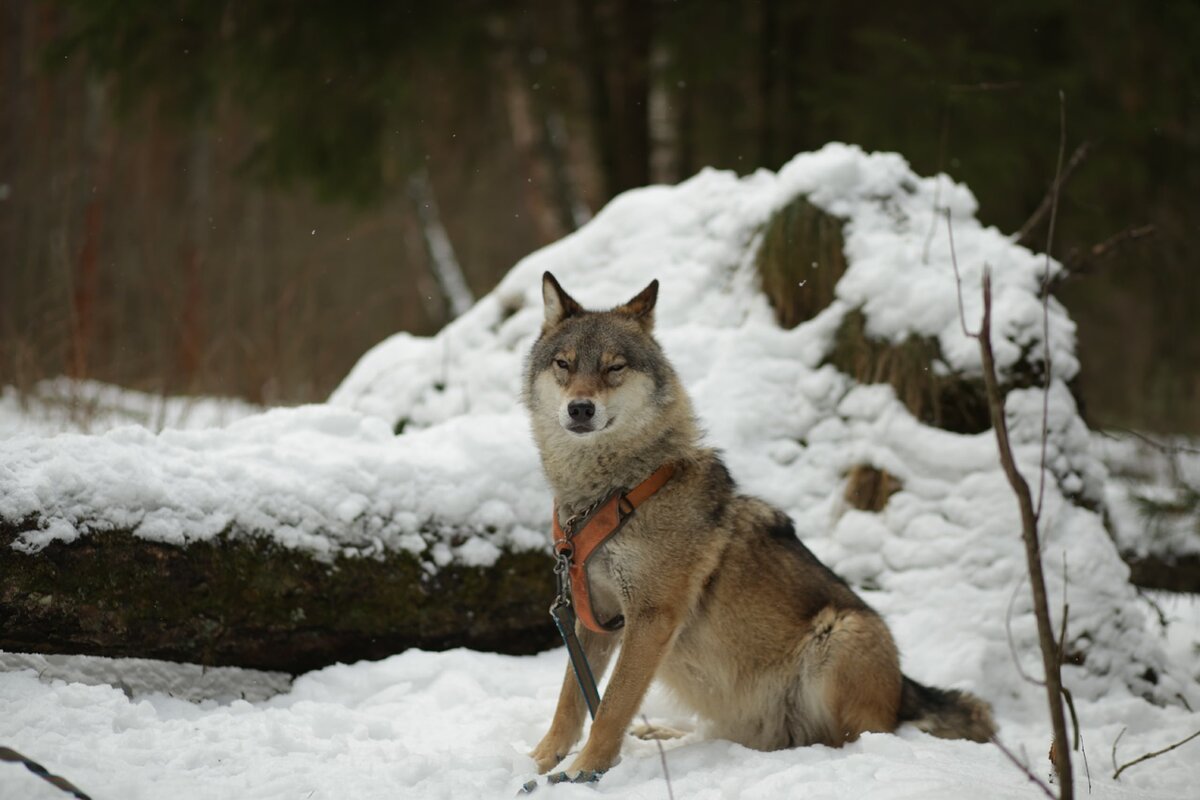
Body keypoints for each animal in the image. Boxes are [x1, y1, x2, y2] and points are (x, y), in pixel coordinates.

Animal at [520, 273, 998, 777]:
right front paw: (540, 761)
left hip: (842, 636)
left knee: (850, 738)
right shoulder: (593, 617)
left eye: (615, 367)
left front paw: (583, 771)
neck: (610, 496)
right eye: (564, 364)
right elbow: (571, 700)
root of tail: (905, 687)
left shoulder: (650, 616)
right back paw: (663, 735)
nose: (580, 409)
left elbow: (611, 705)